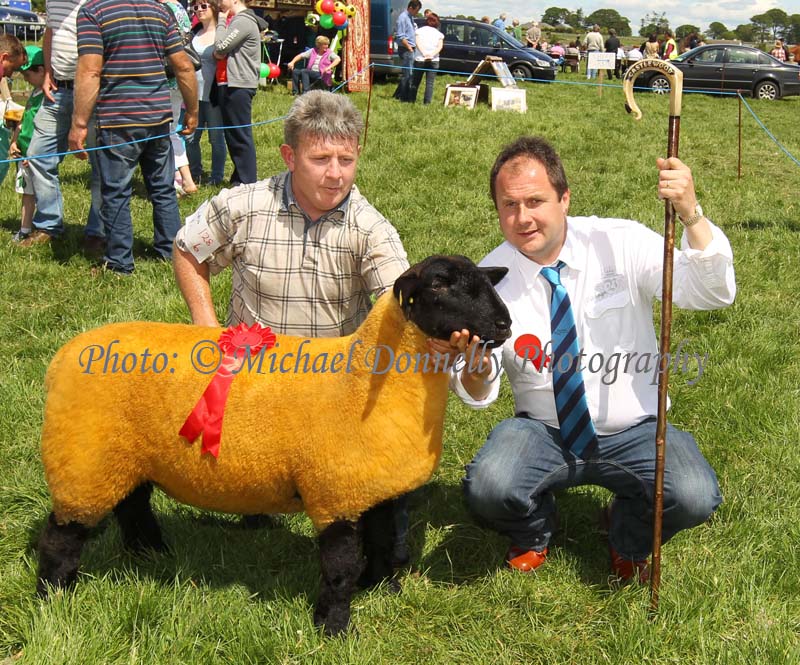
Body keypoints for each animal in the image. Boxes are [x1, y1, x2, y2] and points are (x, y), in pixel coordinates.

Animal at [37, 253, 510, 632]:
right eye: (439, 285)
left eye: (486, 283)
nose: (505, 325)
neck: (364, 382)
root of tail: (62, 356)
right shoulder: (333, 494)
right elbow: (340, 568)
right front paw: (334, 627)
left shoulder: (373, 490)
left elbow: (378, 543)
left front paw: (381, 589)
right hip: (82, 458)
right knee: (61, 537)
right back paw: (53, 598)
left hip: (123, 455)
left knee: (132, 505)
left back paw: (152, 554)